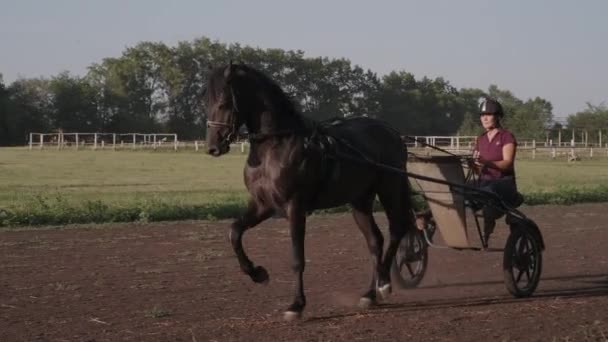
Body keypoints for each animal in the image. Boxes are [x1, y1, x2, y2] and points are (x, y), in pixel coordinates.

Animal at [204, 62, 418, 320]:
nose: (212, 146)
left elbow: (297, 258)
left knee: (396, 229)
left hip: (390, 188)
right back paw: (370, 294)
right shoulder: (263, 205)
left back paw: (384, 283)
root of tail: (390, 131)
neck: (276, 145)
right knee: (375, 241)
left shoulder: (295, 207)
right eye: (207, 101)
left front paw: (296, 305)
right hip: (360, 200)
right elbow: (234, 231)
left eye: (223, 102)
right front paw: (257, 273)